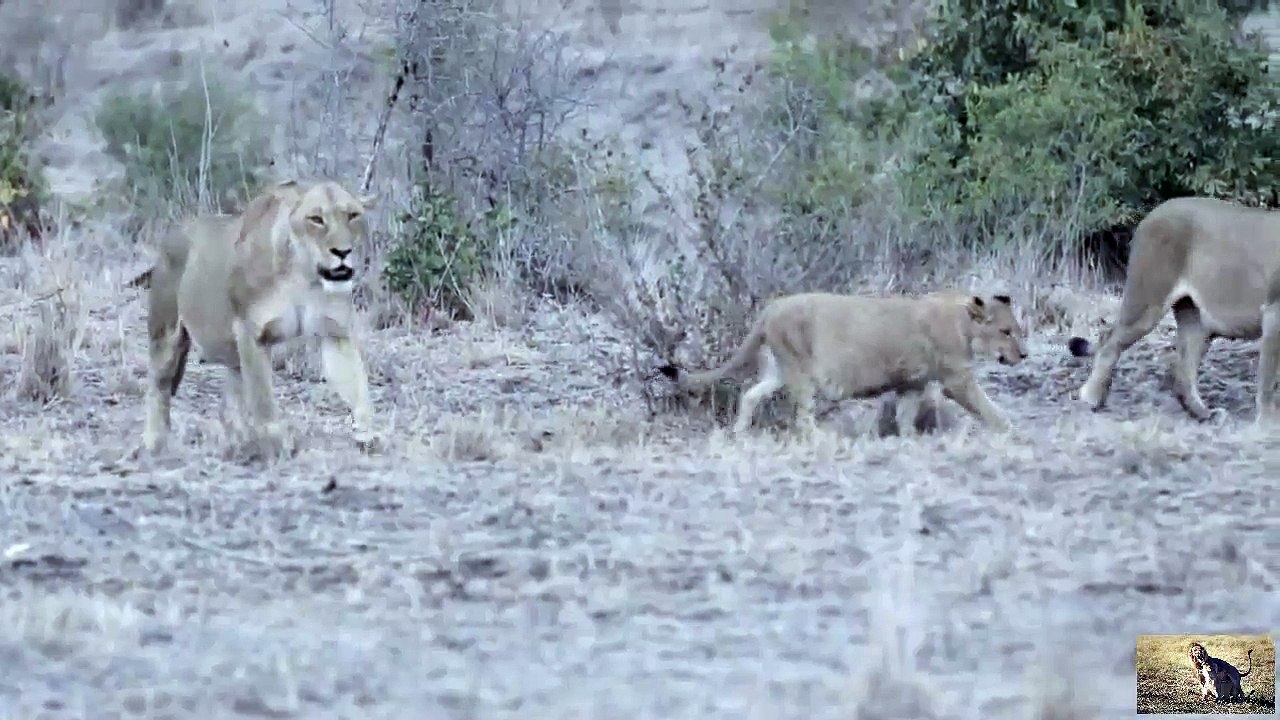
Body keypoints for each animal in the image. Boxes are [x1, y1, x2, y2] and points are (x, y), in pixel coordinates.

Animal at [131, 178, 379, 456]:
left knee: (228, 403)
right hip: (166, 333)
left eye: (353, 215)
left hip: (230, 354)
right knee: (158, 387)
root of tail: (174, 232)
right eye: (316, 219)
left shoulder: (335, 333)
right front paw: (277, 447)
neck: (304, 275)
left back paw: (237, 443)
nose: (342, 252)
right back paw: (154, 443)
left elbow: (357, 386)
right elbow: (263, 400)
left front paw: (367, 436)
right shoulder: (251, 332)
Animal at [658, 290, 1028, 435]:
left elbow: (905, 417)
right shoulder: (956, 380)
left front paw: (908, 440)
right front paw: (1010, 431)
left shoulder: (911, 384)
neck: (964, 322)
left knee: (750, 394)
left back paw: (739, 433)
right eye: (1006, 331)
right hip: (800, 370)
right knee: (802, 418)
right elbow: (987, 406)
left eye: (1017, 329)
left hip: (778, 370)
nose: (1023, 354)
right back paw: (821, 440)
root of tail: (771, 308)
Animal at [1068, 196, 1280, 422]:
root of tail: (1154, 213)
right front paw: (1268, 421)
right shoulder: (1274, 314)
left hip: (1195, 319)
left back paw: (1204, 413)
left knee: (1184, 370)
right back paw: (1091, 398)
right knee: (1108, 340)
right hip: (1147, 301)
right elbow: (1269, 378)